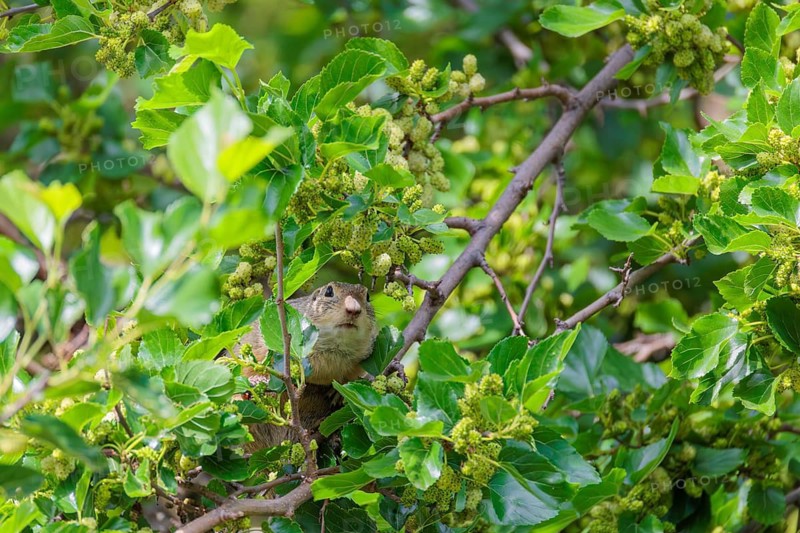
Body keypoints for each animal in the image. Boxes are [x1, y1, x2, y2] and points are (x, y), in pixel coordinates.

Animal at [236, 282, 377, 450]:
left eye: (367, 296)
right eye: (329, 291)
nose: (354, 309)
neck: (334, 349)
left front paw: (339, 391)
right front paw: (258, 379)